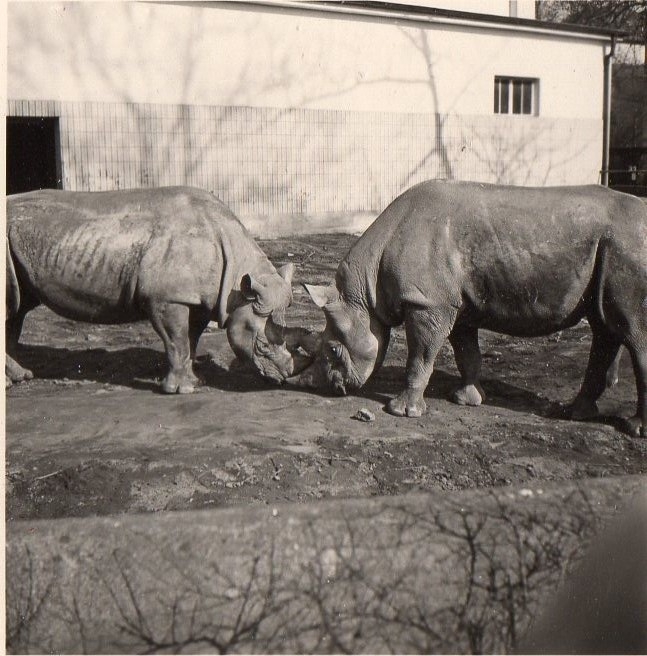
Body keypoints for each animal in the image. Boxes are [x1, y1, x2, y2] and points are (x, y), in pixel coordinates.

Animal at [6, 186, 315, 391]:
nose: (282, 379)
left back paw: (19, 378)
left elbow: (190, 339)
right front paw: (179, 390)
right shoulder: (166, 298)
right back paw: (17, 380)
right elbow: (176, 340)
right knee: (13, 308)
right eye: (261, 345)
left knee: (16, 310)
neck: (237, 283)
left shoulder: (198, 299)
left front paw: (195, 382)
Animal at [288, 180, 647, 437]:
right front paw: (467, 400)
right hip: (609, 251)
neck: (365, 291)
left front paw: (401, 411)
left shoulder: (427, 303)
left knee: (631, 331)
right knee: (604, 326)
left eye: (333, 350)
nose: (327, 387)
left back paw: (633, 430)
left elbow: (420, 356)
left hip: (629, 248)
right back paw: (574, 414)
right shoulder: (455, 305)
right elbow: (466, 353)